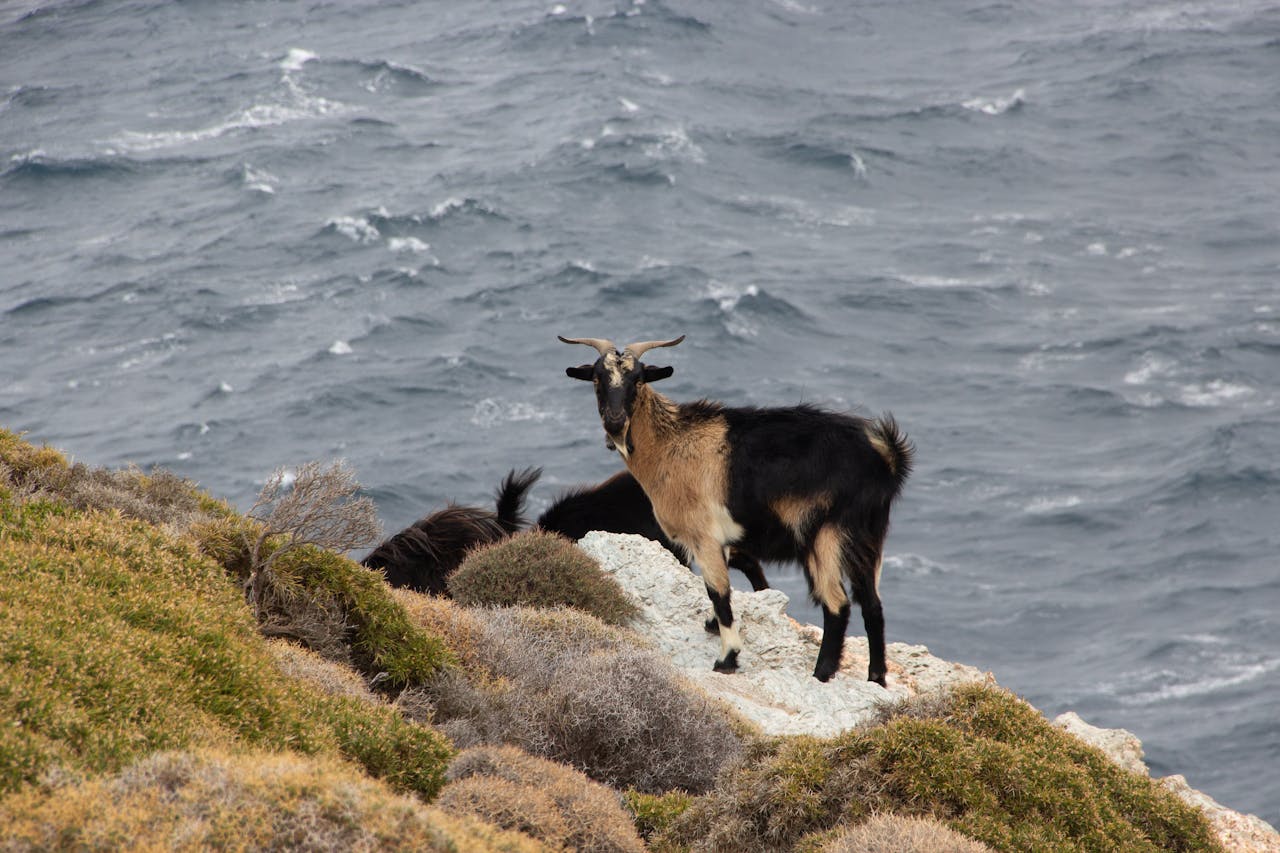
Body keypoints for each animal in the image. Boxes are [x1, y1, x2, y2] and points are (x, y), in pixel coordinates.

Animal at [561, 334, 913, 685]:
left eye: (637, 379)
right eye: (597, 379)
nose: (615, 421)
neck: (669, 443)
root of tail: (885, 457)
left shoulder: (703, 537)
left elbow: (718, 591)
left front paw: (727, 658)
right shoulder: (723, 539)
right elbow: (725, 587)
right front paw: (713, 626)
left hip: (827, 534)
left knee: (837, 603)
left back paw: (821, 673)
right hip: (868, 536)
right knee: (872, 604)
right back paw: (876, 677)